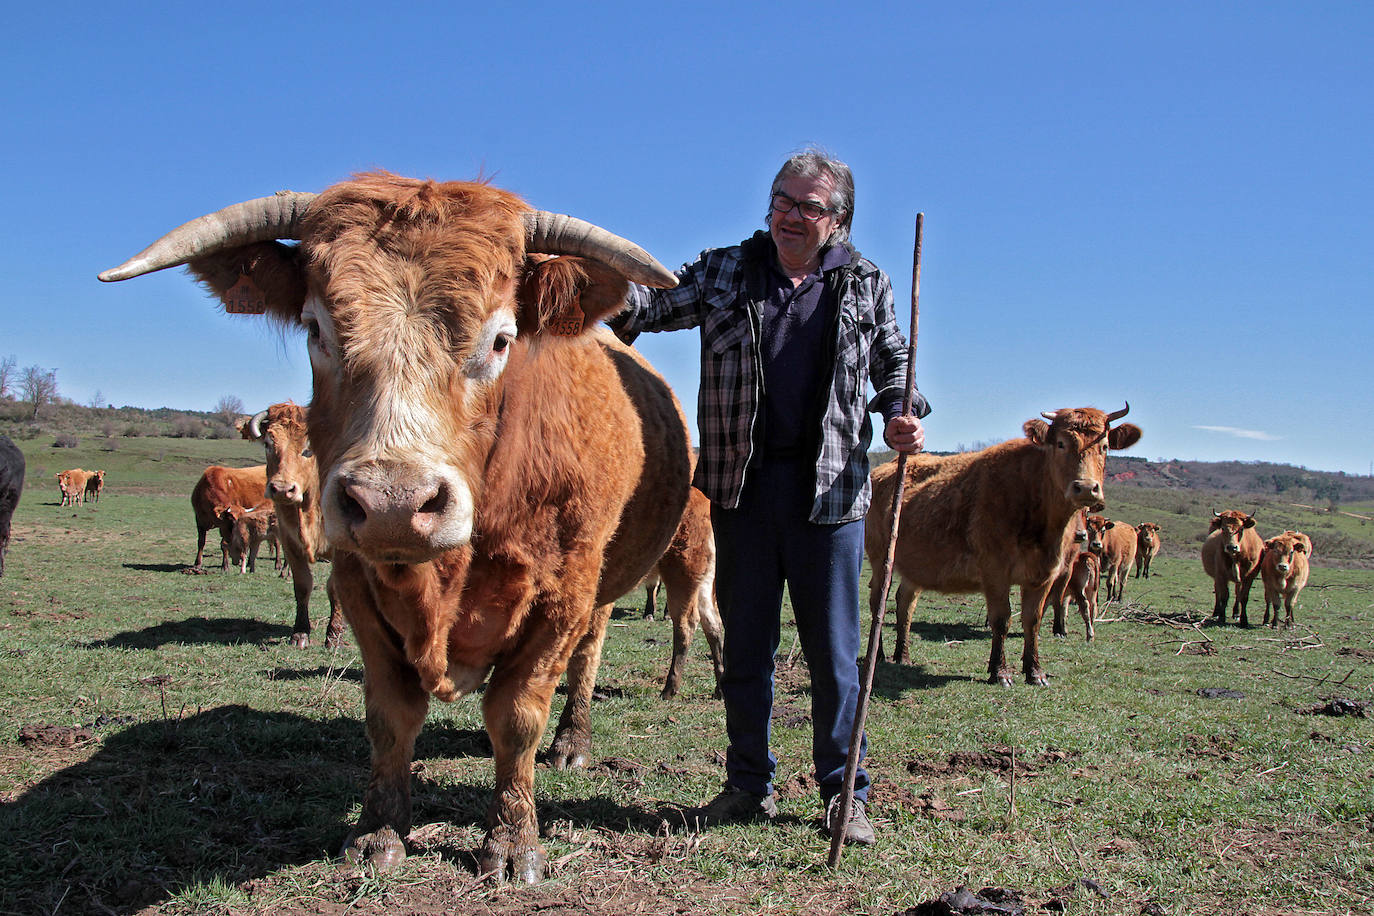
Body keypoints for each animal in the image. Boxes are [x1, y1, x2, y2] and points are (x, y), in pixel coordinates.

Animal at [248, 403, 346, 650]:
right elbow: (302, 584)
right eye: (268, 443)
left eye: (308, 448)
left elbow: (335, 588)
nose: (282, 489)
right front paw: (300, 632)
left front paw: (334, 635)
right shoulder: (289, 540)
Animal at [862, 403, 1143, 683]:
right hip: (880, 558)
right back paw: (878, 654)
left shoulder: (1044, 575)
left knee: (905, 603)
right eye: (1061, 443)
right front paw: (999, 671)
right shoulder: (995, 571)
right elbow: (1001, 619)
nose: (1085, 488)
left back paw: (903, 655)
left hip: (915, 565)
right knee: (878, 602)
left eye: (1104, 446)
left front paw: (1034, 671)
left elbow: (1033, 620)